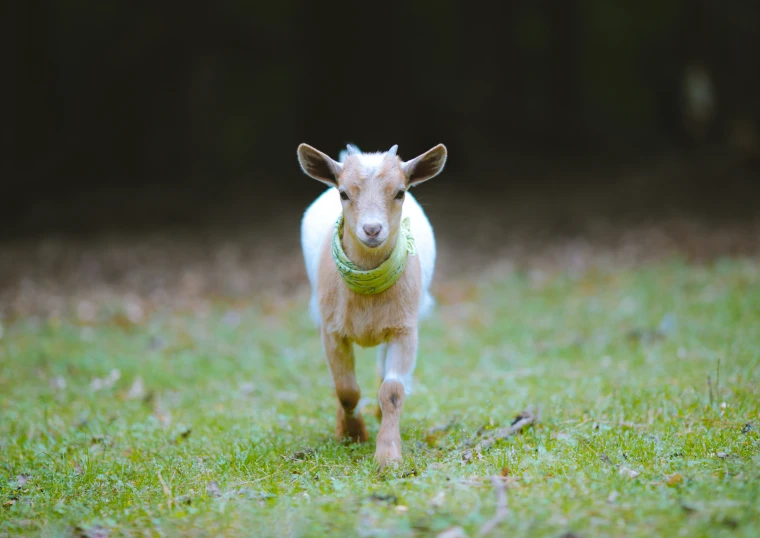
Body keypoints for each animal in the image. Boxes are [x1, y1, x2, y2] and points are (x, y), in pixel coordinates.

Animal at [300, 142, 448, 464]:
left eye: (400, 192)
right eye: (343, 193)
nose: (372, 229)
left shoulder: (405, 329)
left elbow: (392, 390)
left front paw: (388, 456)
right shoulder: (331, 329)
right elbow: (346, 390)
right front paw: (353, 434)